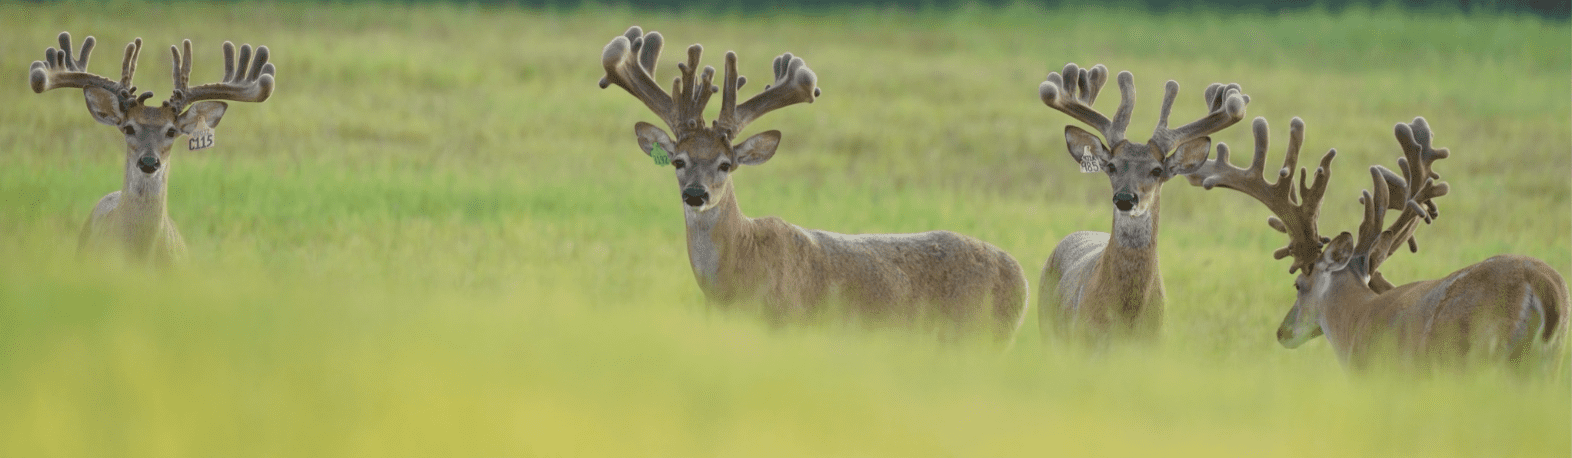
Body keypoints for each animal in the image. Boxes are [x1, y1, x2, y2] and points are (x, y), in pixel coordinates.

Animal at [598, 26, 1028, 343]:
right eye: (678, 161)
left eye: (725, 164)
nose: (695, 194)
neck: (735, 283)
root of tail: (1020, 277)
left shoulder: (789, 326)